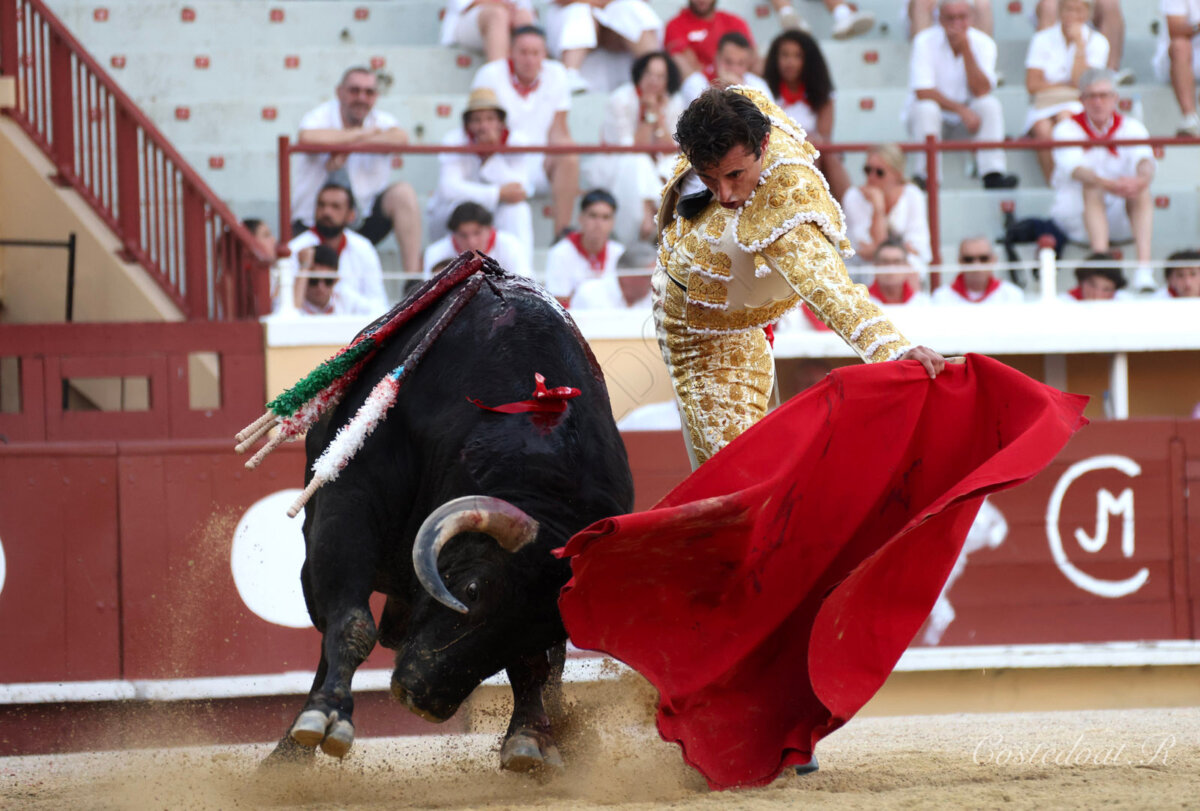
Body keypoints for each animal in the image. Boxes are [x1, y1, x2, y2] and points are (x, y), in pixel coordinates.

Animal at [267, 255, 635, 771]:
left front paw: (530, 738)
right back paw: (293, 747)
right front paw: (326, 718)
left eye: (545, 624)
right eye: (473, 589)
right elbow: (352, 621)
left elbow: (539, 663)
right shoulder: (350, 503)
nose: (423, 699)